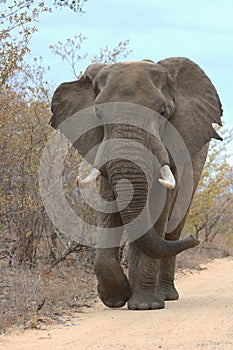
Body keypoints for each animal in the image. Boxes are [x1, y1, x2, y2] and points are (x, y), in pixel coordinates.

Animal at [50, 58, 222, 312]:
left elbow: (159, 209)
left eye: (163, 112)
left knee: (173, 228)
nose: (195, 239)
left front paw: (146, 306)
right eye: (98, 113)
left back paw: (165, 296)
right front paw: (116, 298)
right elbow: (109, 208)